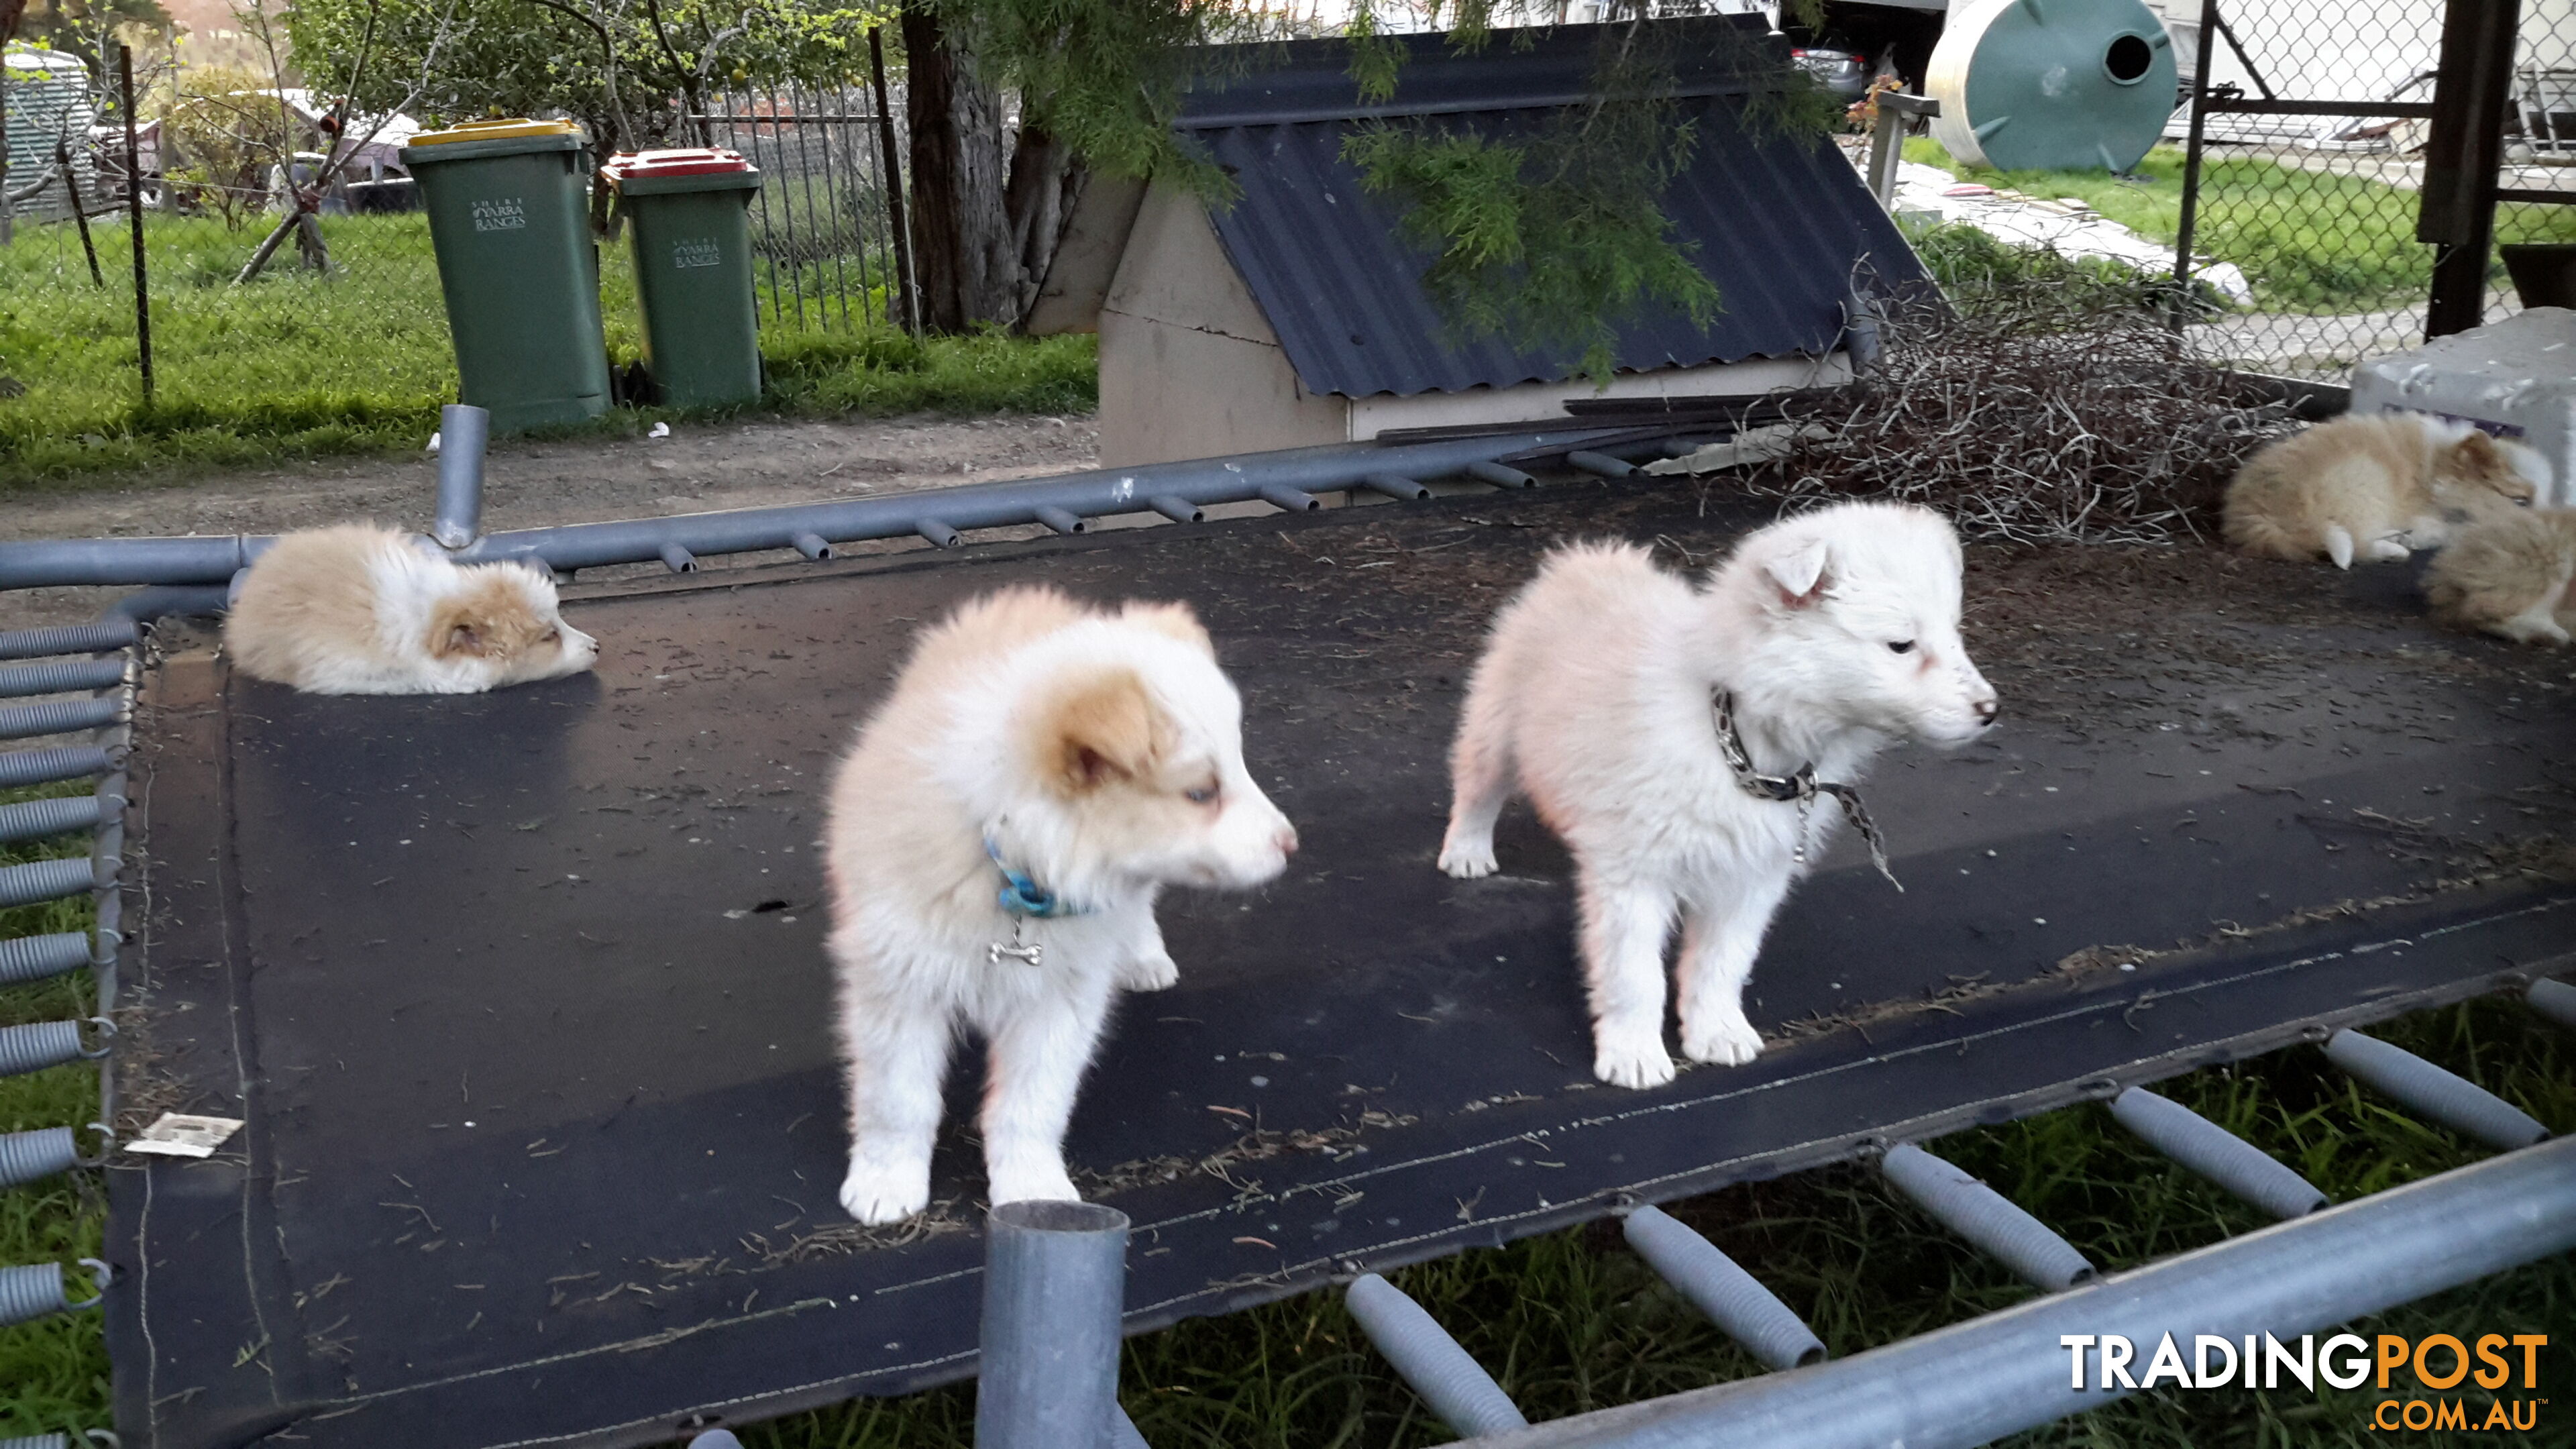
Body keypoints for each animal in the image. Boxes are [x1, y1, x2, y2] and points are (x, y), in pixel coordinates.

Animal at [824, 588, 1298, 1217]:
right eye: (1201, 793)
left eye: (1240, 765)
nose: (1291, 844)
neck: (1013, 865)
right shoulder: (900, 984)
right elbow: (897, 1098)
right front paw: (886, 1181)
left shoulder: (1059, 1000)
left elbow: (1032, 1104)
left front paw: (1033, 1191)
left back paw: (1143, 957)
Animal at [1442, 502, 1998, 1087]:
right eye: (1901, 645)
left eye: (1954, 633)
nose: (1991, 711)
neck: (1735, 738)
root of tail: (1591, 561)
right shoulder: (1636, 876)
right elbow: (1634, 974)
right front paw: (1634, 1052)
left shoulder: (1752, 876)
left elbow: (1722, 962)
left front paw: (1717, 1032)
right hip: (1497, 722)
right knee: (1477, 787)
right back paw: (1467, 850)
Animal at [2225, 412, 2544, 570]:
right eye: (2521, 501)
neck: (2435, 471)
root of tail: (2256, 514)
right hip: (2365, 481)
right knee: (2357, 545)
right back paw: (2395, 549)